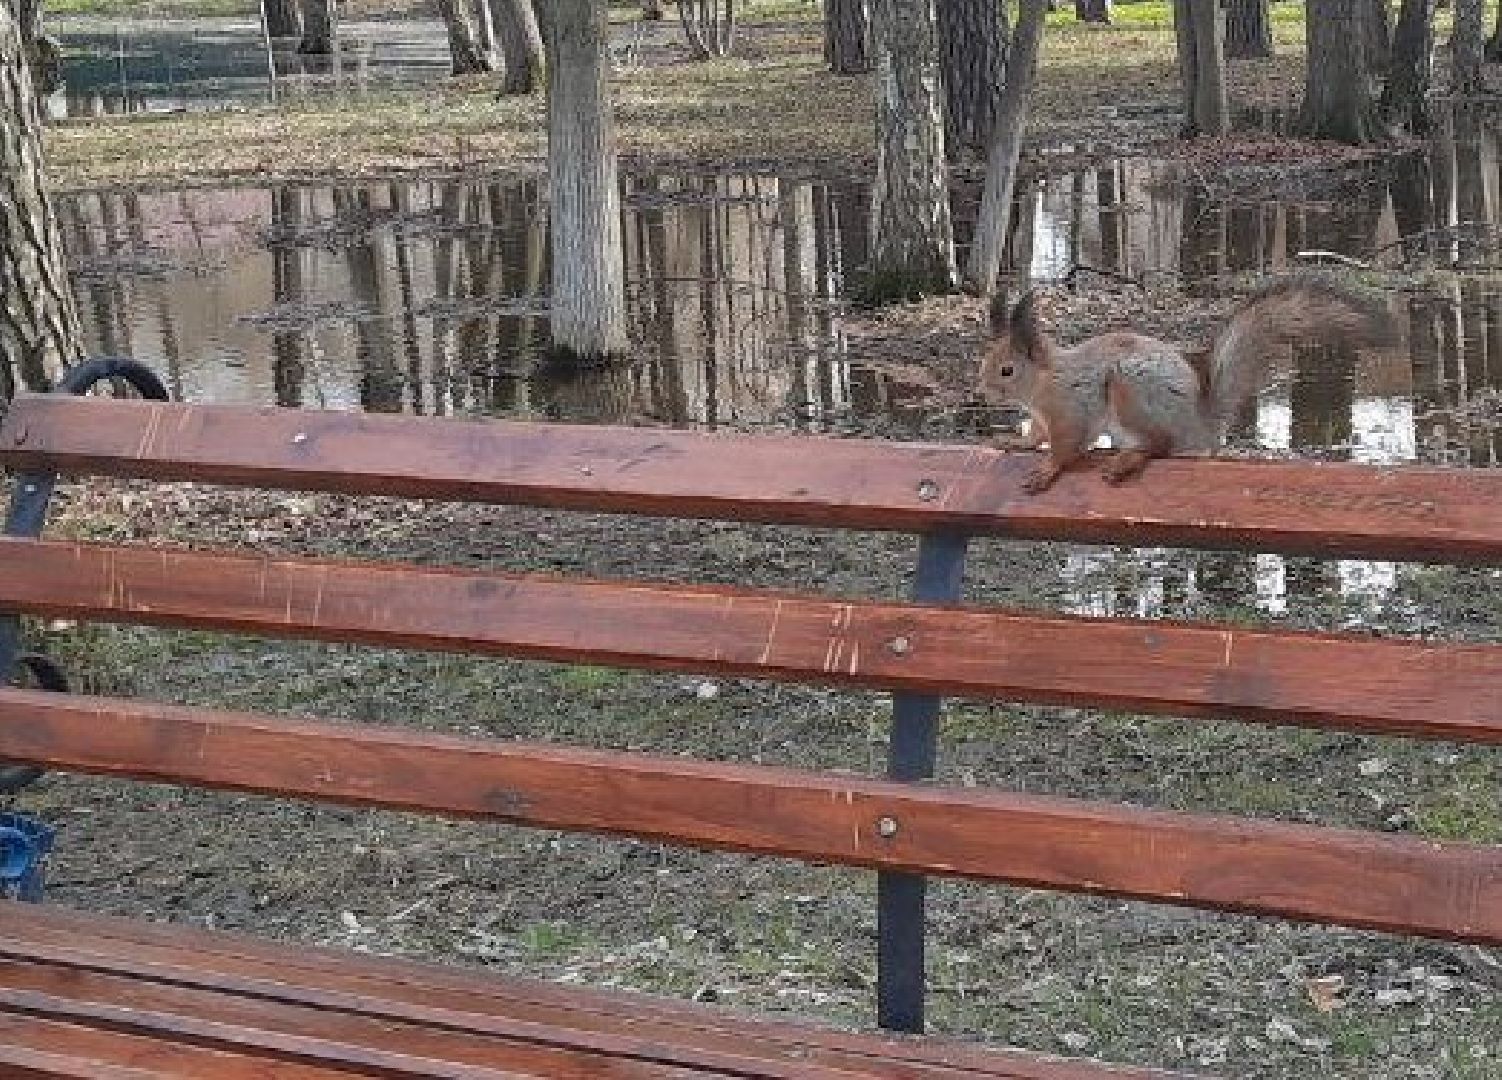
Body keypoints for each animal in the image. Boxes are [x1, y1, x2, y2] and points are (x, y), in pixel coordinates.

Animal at [977, 277, 1397, 494]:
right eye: (986, 362)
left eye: (1007, 371)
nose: (982, 392)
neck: (1042, 384)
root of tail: (1201, 424)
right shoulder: (1041, 417)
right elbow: (1036, 435)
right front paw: (1016, 441)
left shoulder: (1071, 409)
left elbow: (1066, 447)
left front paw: (1046, 470)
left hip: (1131, 389)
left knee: (1160, 444)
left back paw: (1127, 460)